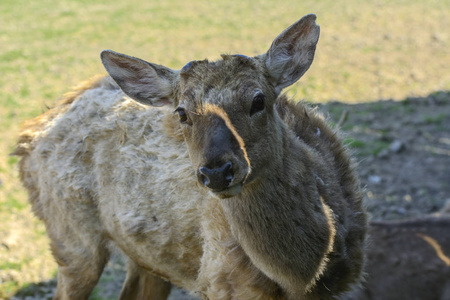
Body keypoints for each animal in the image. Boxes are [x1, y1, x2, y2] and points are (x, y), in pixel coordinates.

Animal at [14, 14, 366, 300]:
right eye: (182, 112)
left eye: (258, 100)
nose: (217, 171)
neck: (301, 279)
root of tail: (26, 136)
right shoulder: (223, 282)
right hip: (70, 237)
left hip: (146, 255)